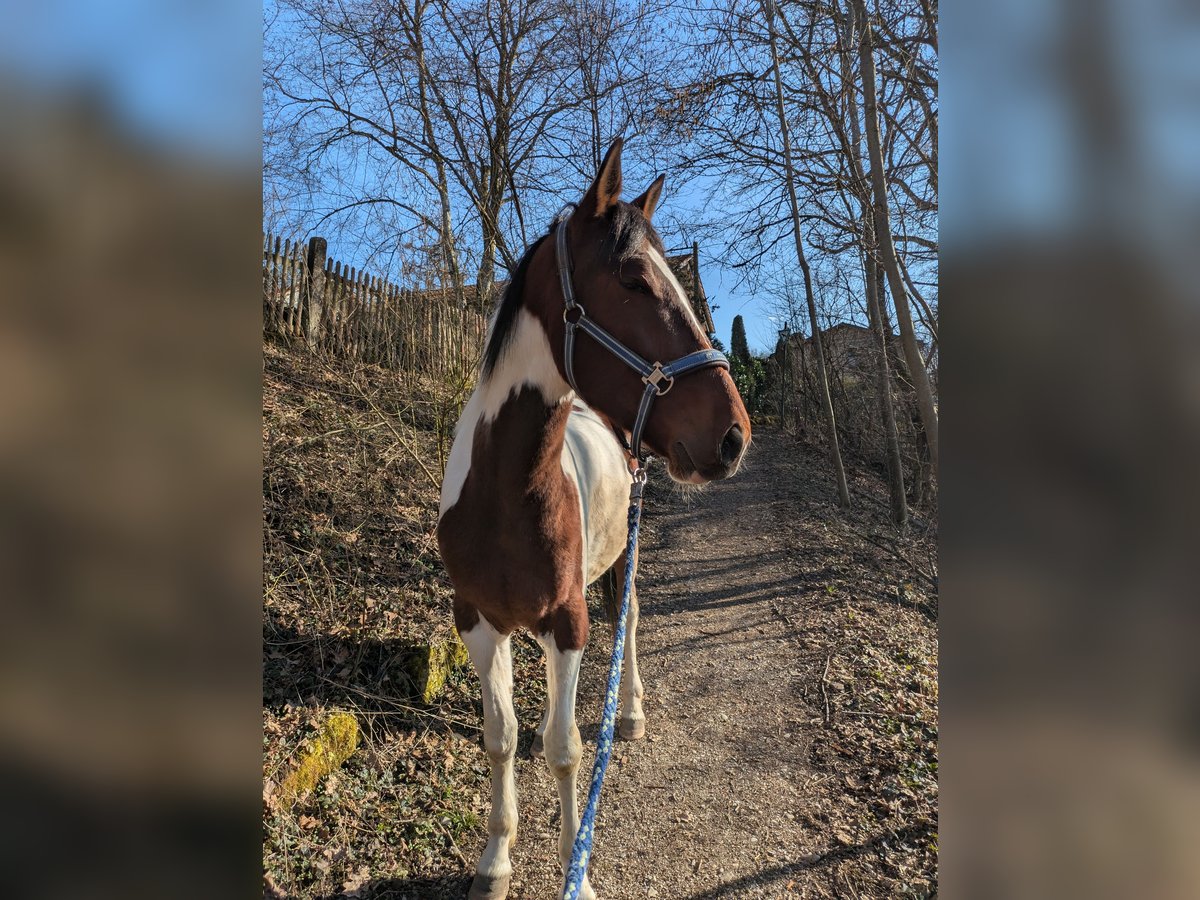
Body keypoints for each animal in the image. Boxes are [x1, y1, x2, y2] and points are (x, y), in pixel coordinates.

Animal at [436, 138, 751, 900]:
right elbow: (500, 738)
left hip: (619, 561)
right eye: (634, 281)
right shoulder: (476, 620)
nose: (734, 434)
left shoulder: (567, 622)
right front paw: (495, 860)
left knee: (630, 621)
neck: (505, 493)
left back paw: (629, 710)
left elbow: (565, 748)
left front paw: (572, 871)